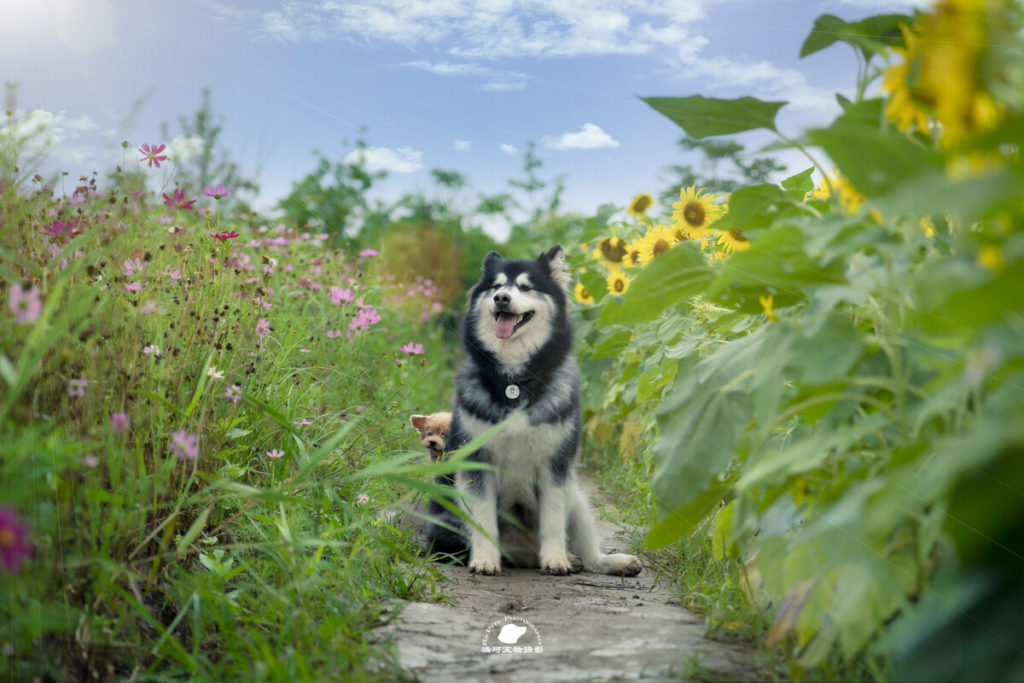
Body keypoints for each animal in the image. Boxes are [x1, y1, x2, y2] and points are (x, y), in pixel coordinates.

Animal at [419, 245, 634, 577]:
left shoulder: (555, 465)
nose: (501, 298)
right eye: (496, 286)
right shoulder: (477, 461)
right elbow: (483, 520)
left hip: (576, 495)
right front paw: (485, 559)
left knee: (588, 552)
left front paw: (556, 559)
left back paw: (603, 560)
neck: (514, 381)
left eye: (525, 287)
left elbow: (553, 519)